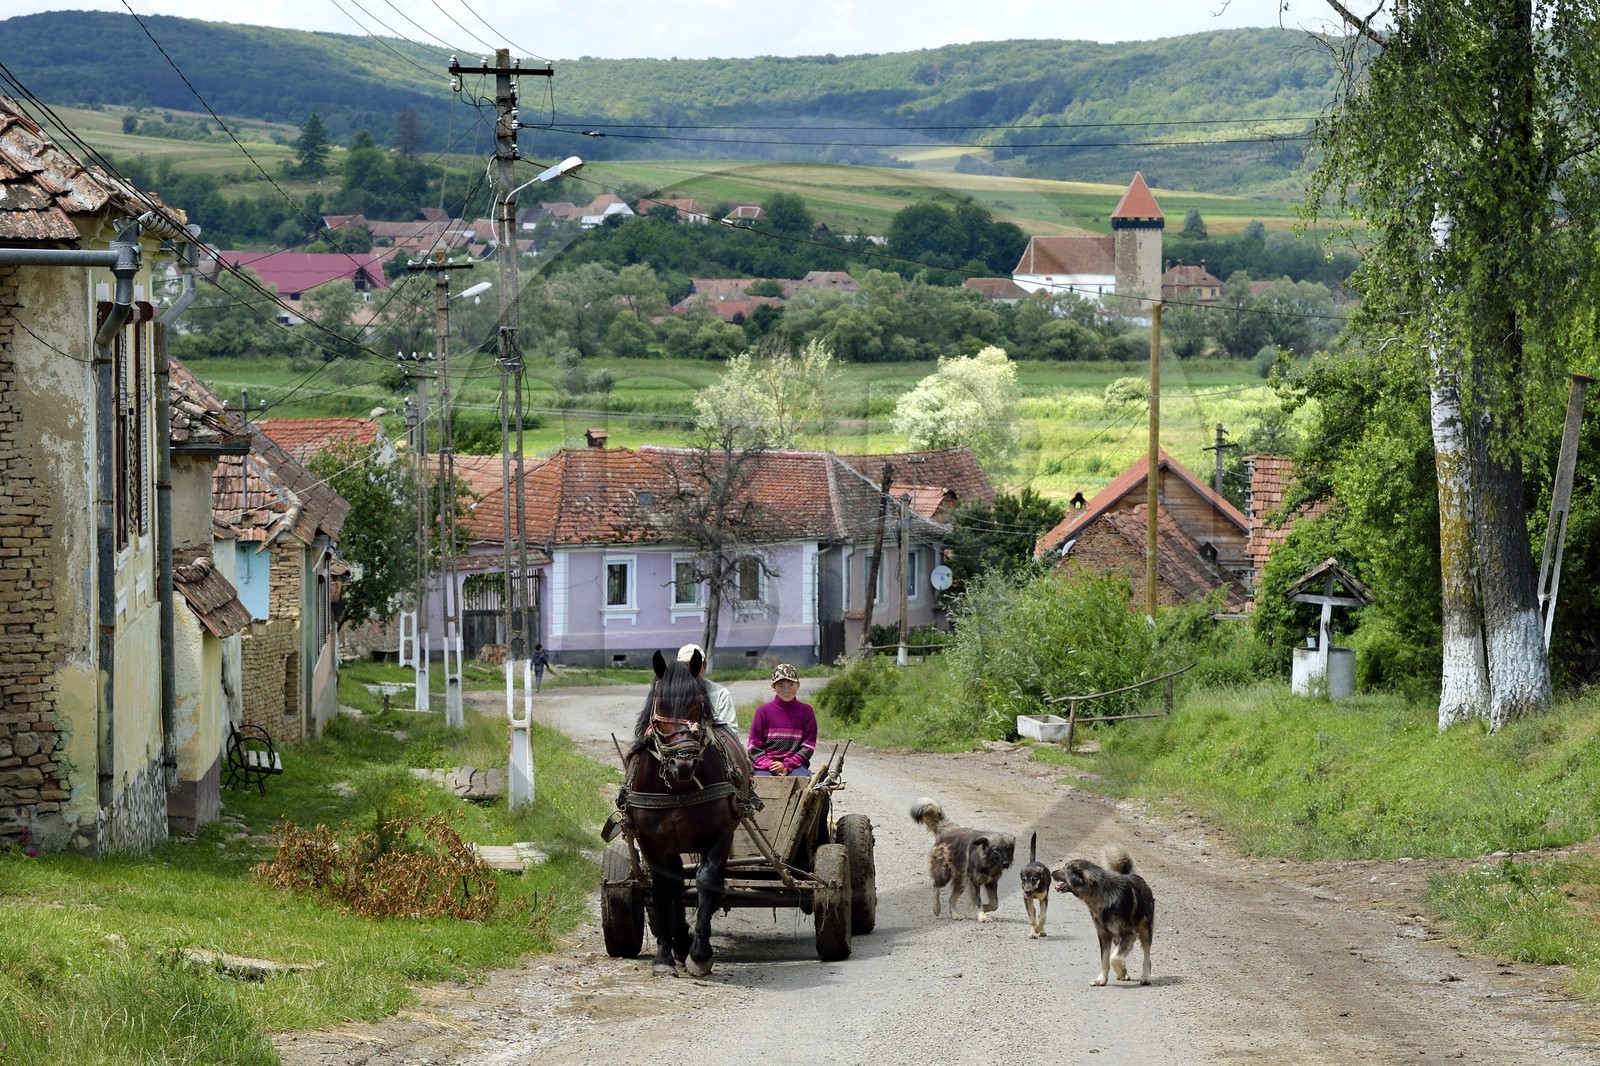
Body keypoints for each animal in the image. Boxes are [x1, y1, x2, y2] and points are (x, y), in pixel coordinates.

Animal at [623, 648, 746, 977]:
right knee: (676, 883)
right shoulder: (651, 842)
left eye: (698, 704)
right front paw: (664, 956)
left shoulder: (720, 834)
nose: (683, 763)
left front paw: (700, 953)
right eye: (660, 704)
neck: (677, 787)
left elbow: (706, 880)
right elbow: (664, 888)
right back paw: (678, 940)